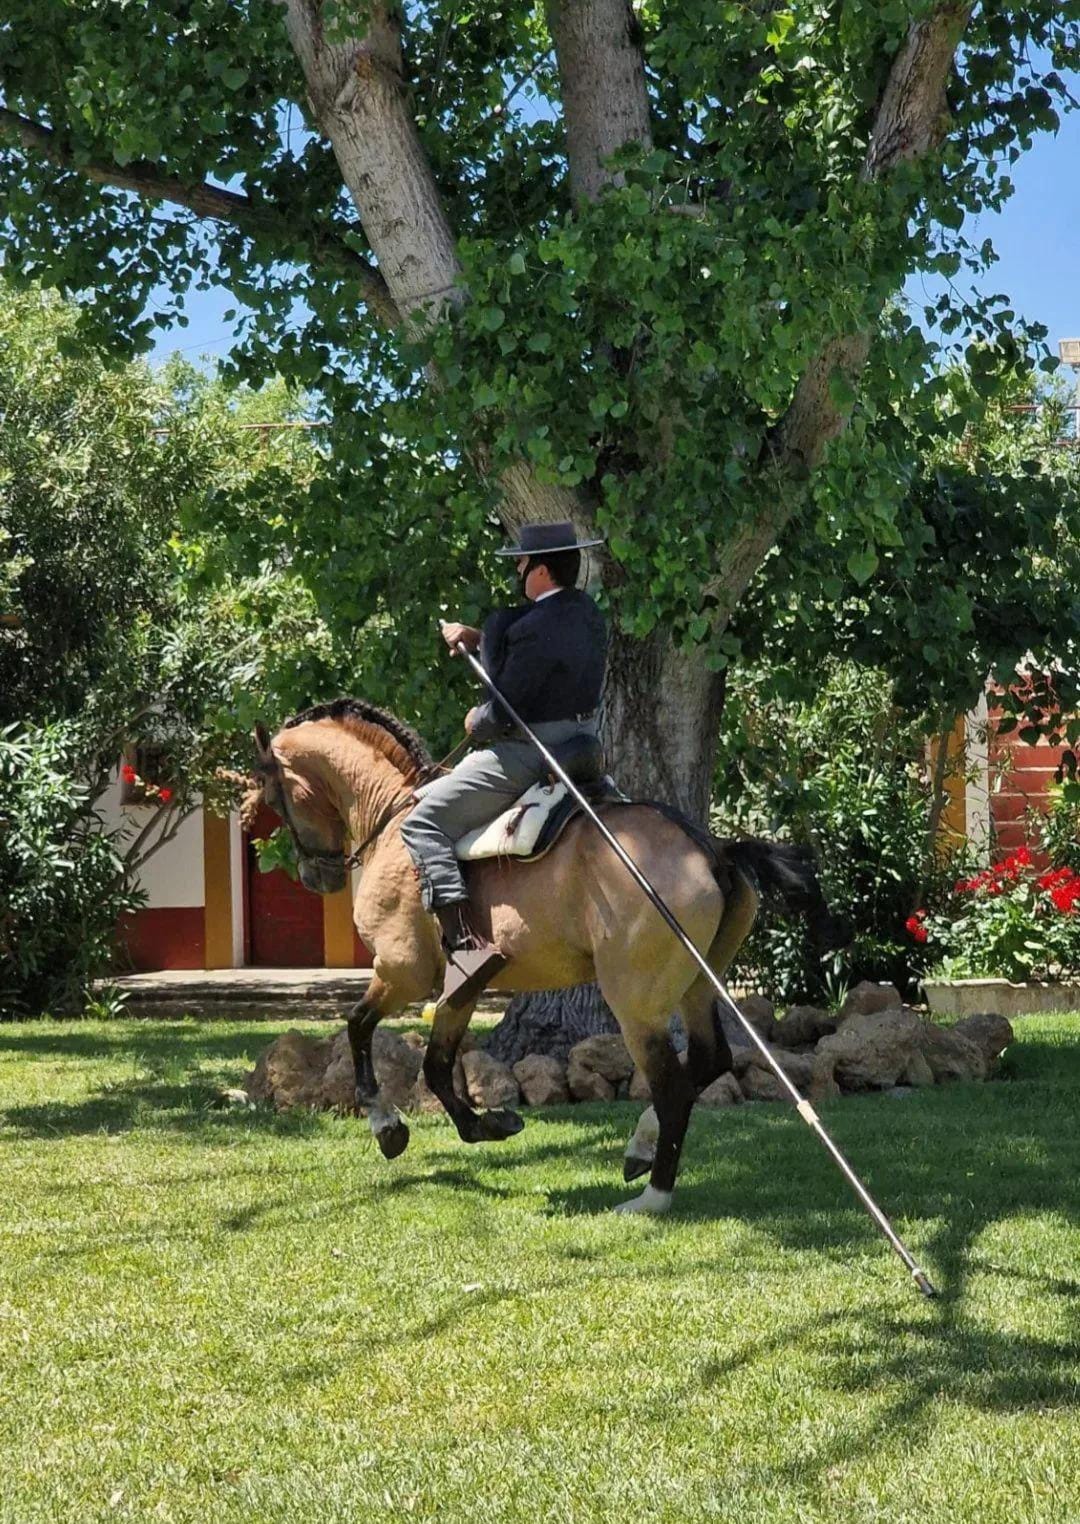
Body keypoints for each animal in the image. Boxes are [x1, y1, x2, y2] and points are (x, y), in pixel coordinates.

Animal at [251, 697, 837, 1214]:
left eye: (275, 798)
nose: (316, 876)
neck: (395, 822)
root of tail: (712, 849)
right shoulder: (462, 986)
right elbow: (437, 1067)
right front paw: (486, 1124)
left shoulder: (402, 973)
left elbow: (358, 1027)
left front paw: (386, 1125)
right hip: (697, 985)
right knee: (710, 1061)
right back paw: (640, 1150)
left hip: (635, 1003)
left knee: (674, 1088)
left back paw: (653, 1196)